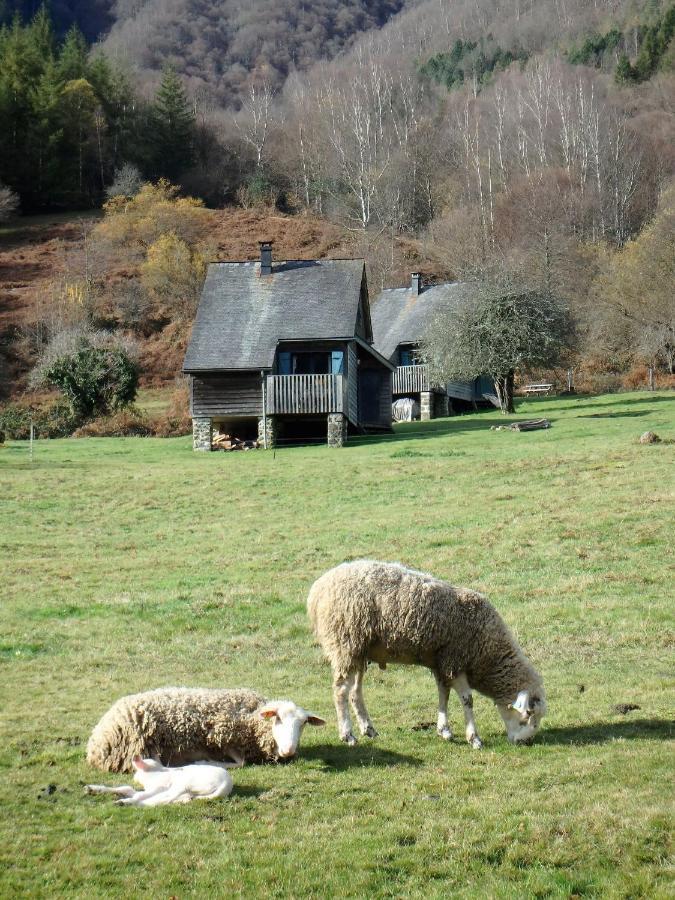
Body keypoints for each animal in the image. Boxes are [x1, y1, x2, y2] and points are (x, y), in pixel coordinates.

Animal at [84, 752, 243, 808]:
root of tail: (226, 784)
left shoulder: (159, 786)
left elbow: (139, 794)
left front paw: (126, 800)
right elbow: (126, 788)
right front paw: (93, 788)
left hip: (185, 783)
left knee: (166, 798)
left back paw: (130, 803)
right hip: (191, 791)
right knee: (181, 799)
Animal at [86, 684, 326, 768]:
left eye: (303, 724)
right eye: (278, 718)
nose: (289, 750)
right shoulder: (224, 738)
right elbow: (240, 763)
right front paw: (208, 762)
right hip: (143, 746)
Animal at [308, 564, 548, 744]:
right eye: (528, 715)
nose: (526, 742)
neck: (488, 653)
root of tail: (317, 590)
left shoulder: (442, 663)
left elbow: (444, 694)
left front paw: (445, 730)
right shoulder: (455, 660)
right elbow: (467, 699)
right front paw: (474, 738)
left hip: (359, 649)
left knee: (354, 692)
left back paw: (368, 729)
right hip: (344, 643)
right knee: (340, 691)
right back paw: (347, 735)